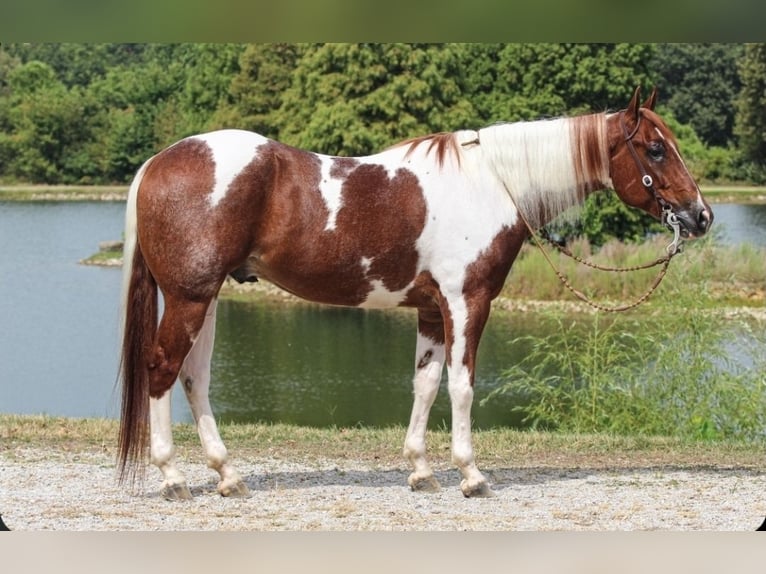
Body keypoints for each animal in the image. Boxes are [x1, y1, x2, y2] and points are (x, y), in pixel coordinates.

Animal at [117, 86, 713, 500]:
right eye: (655, 150)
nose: (701, 216)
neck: (492, 183)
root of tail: (159, 161)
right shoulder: (467, 302)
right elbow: (463, 387)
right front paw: (471, 475)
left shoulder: (431, 310)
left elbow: (425, 386)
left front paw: (422, 471)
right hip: (190, 297)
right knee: (163, 368)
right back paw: (173, 478)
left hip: (207, 298)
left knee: (195, 378)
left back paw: (228, 475)